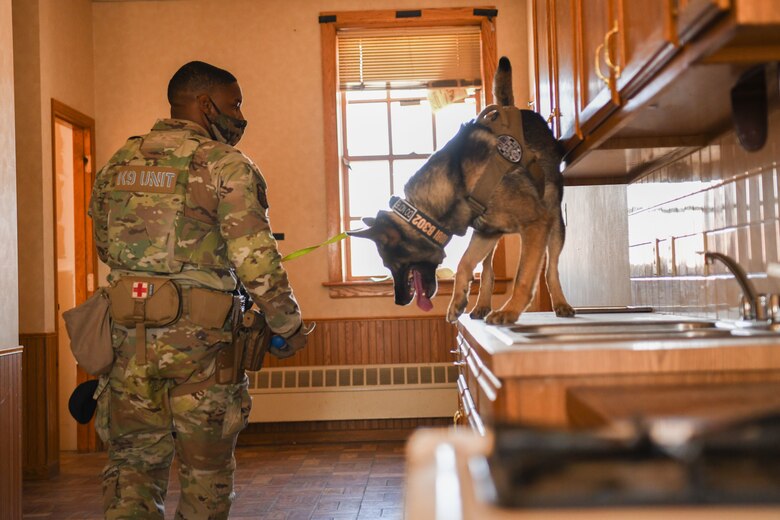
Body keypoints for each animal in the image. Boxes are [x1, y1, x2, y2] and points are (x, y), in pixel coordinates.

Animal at [350, 58, 576, 324]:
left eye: (390, 263)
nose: (399, 302)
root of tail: (510, 108)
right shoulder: (485, 234)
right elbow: (464, 263)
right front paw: (458, 300)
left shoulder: (536, 223)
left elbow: (523, 277)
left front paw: (510, 311)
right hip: (494, 234)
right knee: (487, 270)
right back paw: (482, 305)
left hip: (554, 220)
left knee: (551, 267)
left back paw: (560, 303)